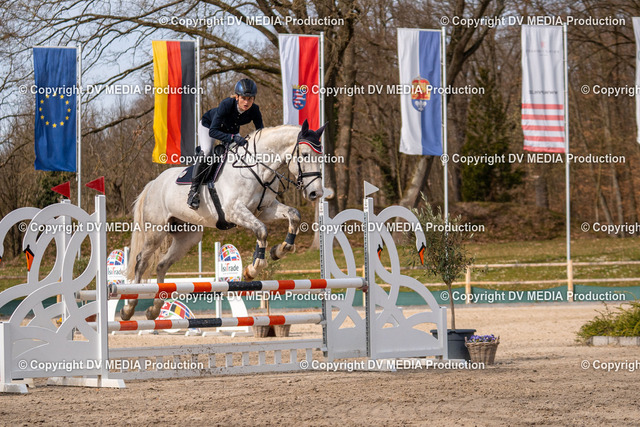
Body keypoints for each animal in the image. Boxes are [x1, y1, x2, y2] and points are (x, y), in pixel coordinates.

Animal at [121, 120, 325, 320]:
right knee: (141, 261)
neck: (256, 168)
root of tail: (153, 183)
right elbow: (262, 230)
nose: (316, 193)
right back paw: (129, 308)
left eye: (321, 156)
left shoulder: (265, 209)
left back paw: (154, 309)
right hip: (156, 231)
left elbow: (294, 215)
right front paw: (253, 269)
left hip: (188, 236)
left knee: (162, 265)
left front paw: (280, 250)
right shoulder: (234, 212)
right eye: (305, 155)